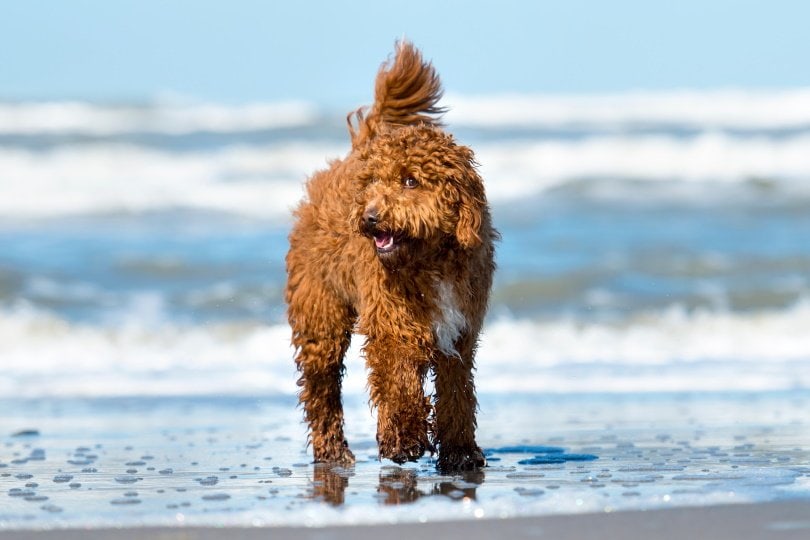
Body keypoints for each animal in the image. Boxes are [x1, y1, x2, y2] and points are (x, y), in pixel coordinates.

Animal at [288, 42, 496, 472]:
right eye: (373, 183)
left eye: (410, 180)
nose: (369, 217)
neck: (432, 259)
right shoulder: (393, 323)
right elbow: (399, 382)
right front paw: (403, 441)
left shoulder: (460, 334)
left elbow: (457, 395)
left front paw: (461, 453)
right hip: (320, 316)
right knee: (321, 387)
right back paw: (332, 451)